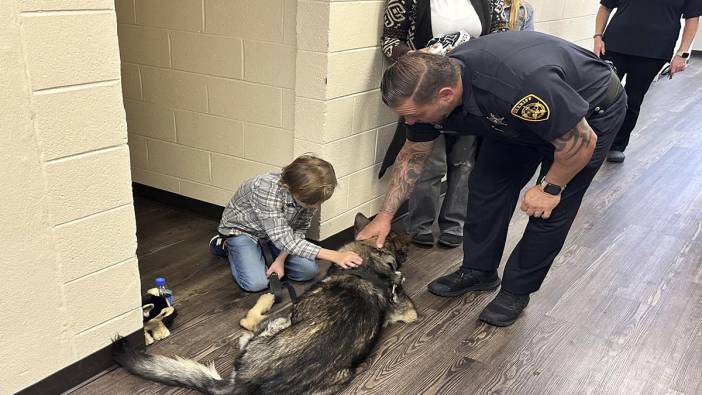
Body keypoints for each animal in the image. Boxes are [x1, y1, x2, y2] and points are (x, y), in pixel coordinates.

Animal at [115, 215, 418, 394]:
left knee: (253, 327)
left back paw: (257, 316)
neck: (369, 263)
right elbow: (410, 311)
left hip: (276, 327)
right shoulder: (403, 306)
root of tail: (245, 384)